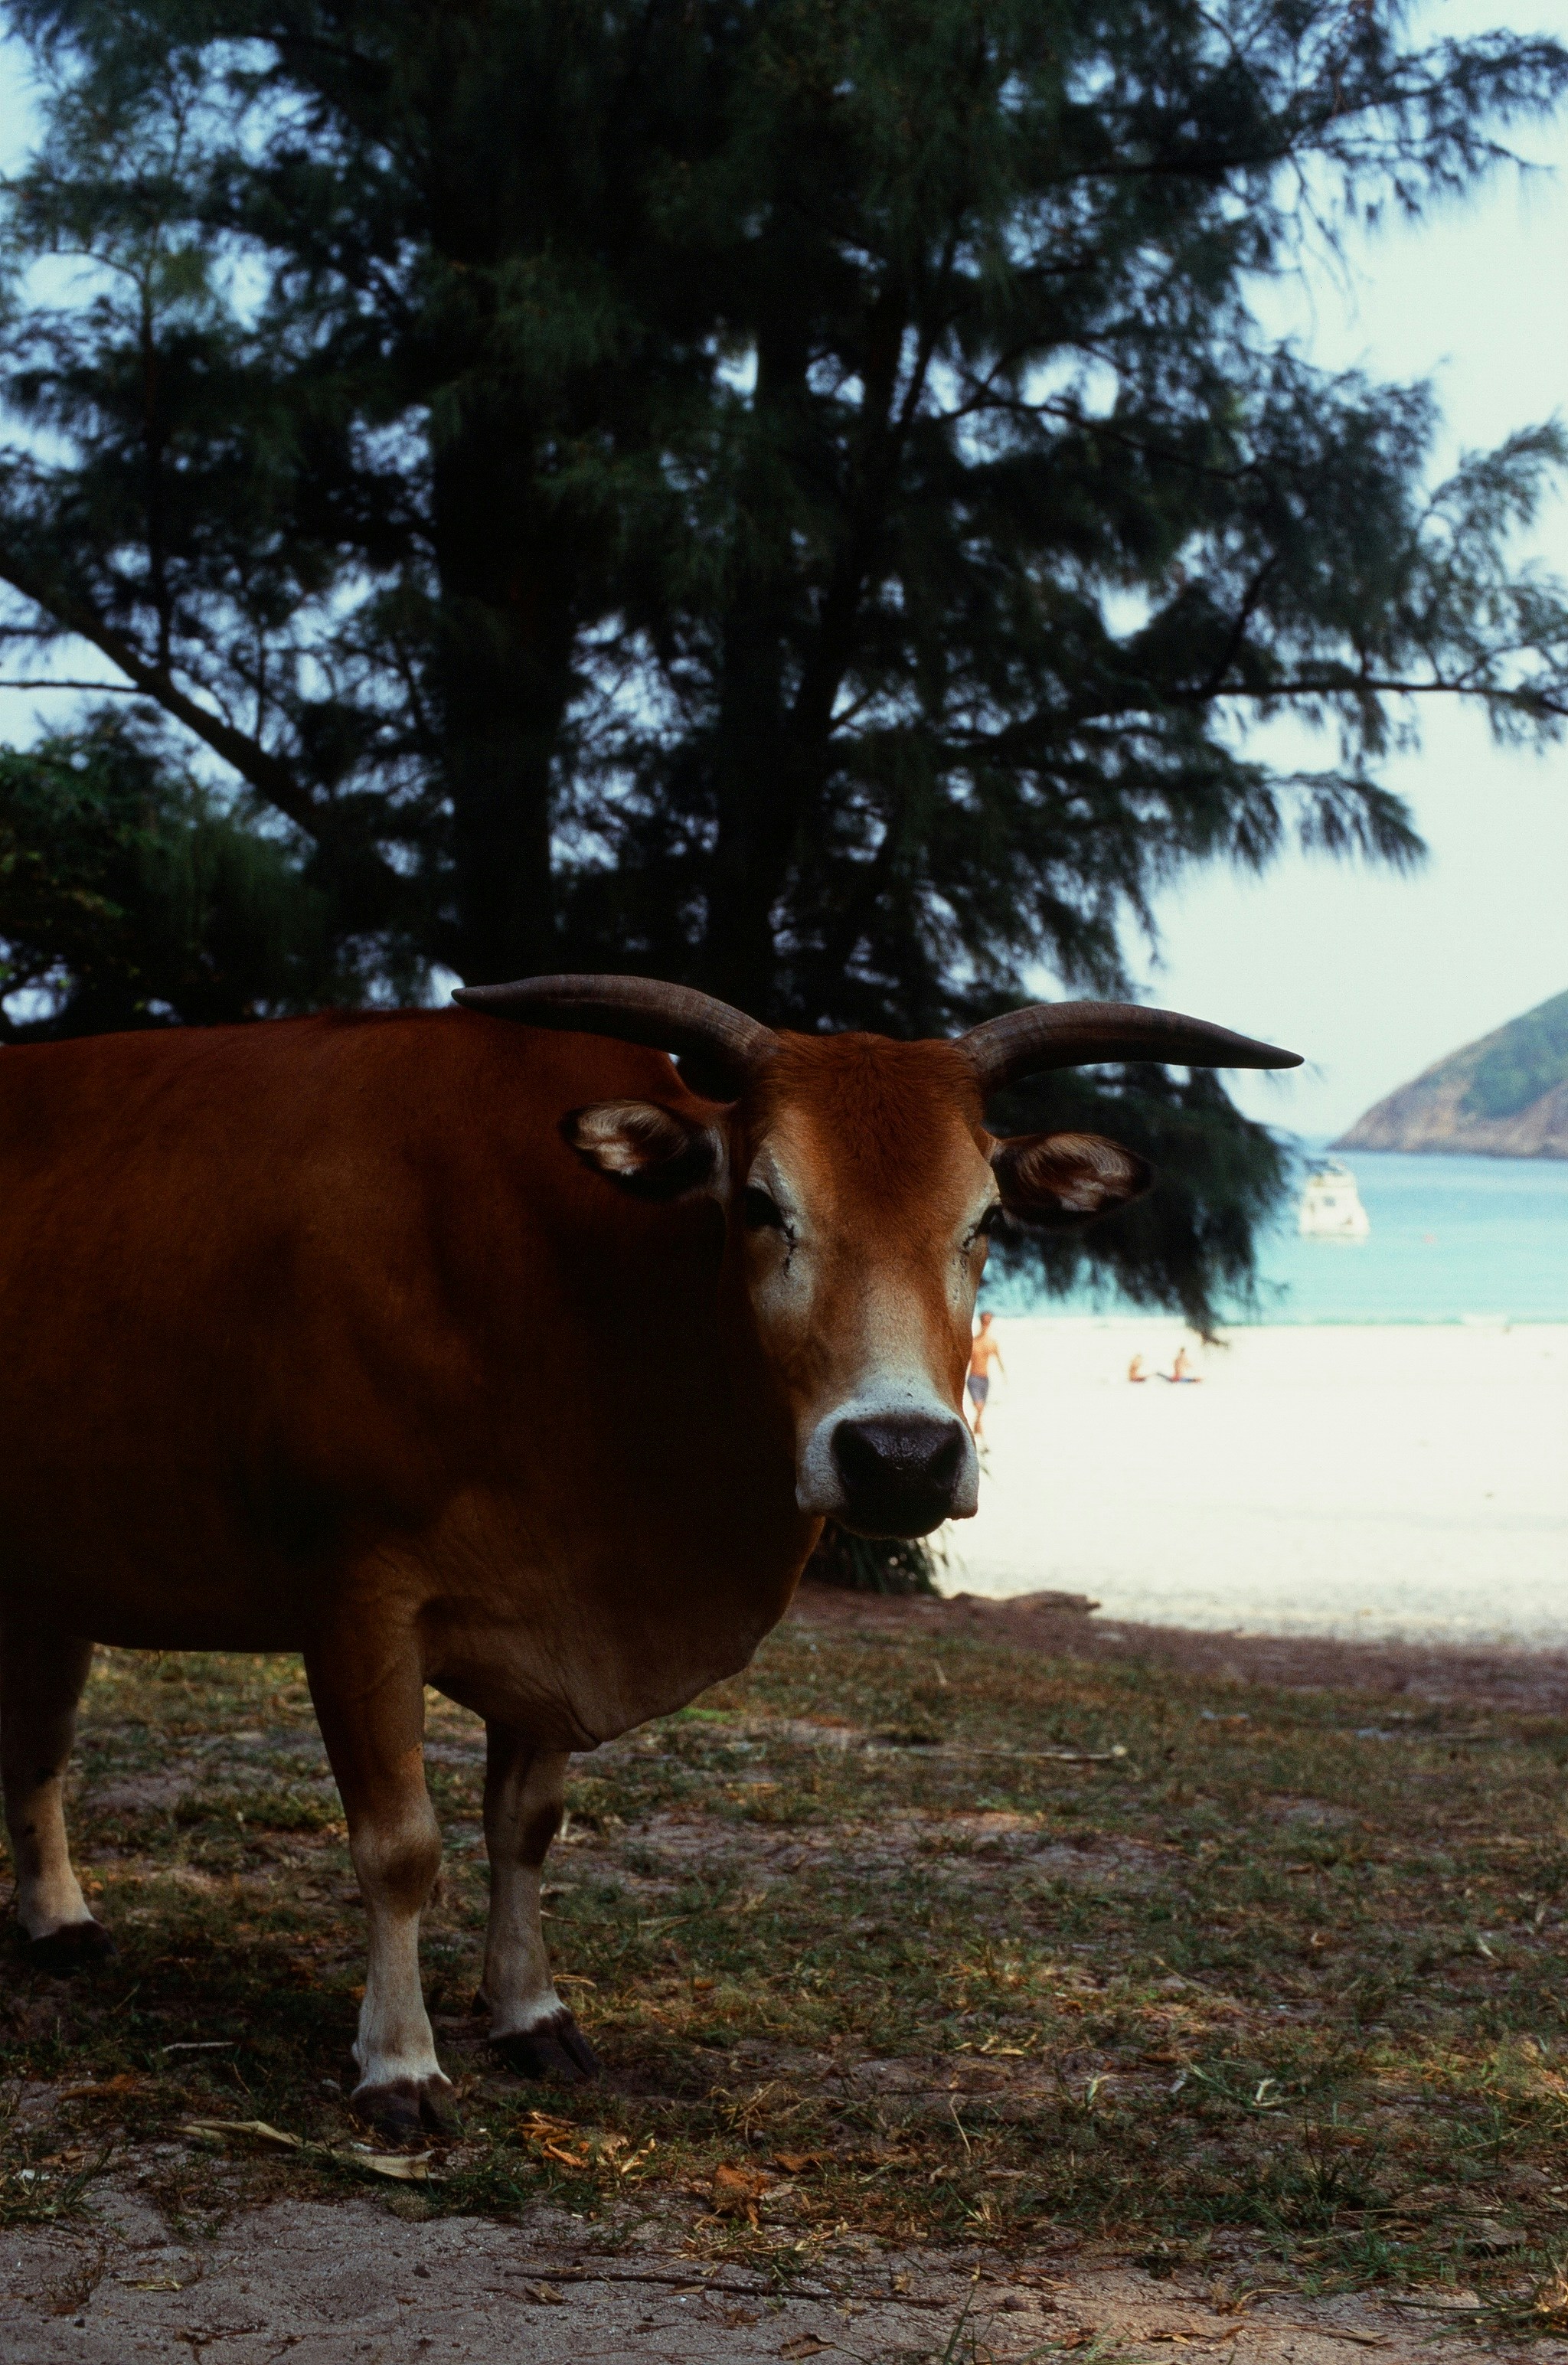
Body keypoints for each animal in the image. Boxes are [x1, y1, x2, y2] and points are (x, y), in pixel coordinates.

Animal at [0, 975, 1298, 2138]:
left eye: (985, 1220)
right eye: (761, 1203)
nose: (902, 1456)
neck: (572, 1295)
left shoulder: (552, 1607)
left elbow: (524, 1826)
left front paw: (529, 2011)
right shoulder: (357, 1596)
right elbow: (401, 1845)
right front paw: (399, 2062)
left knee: (42, 1744)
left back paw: (56, 1917)